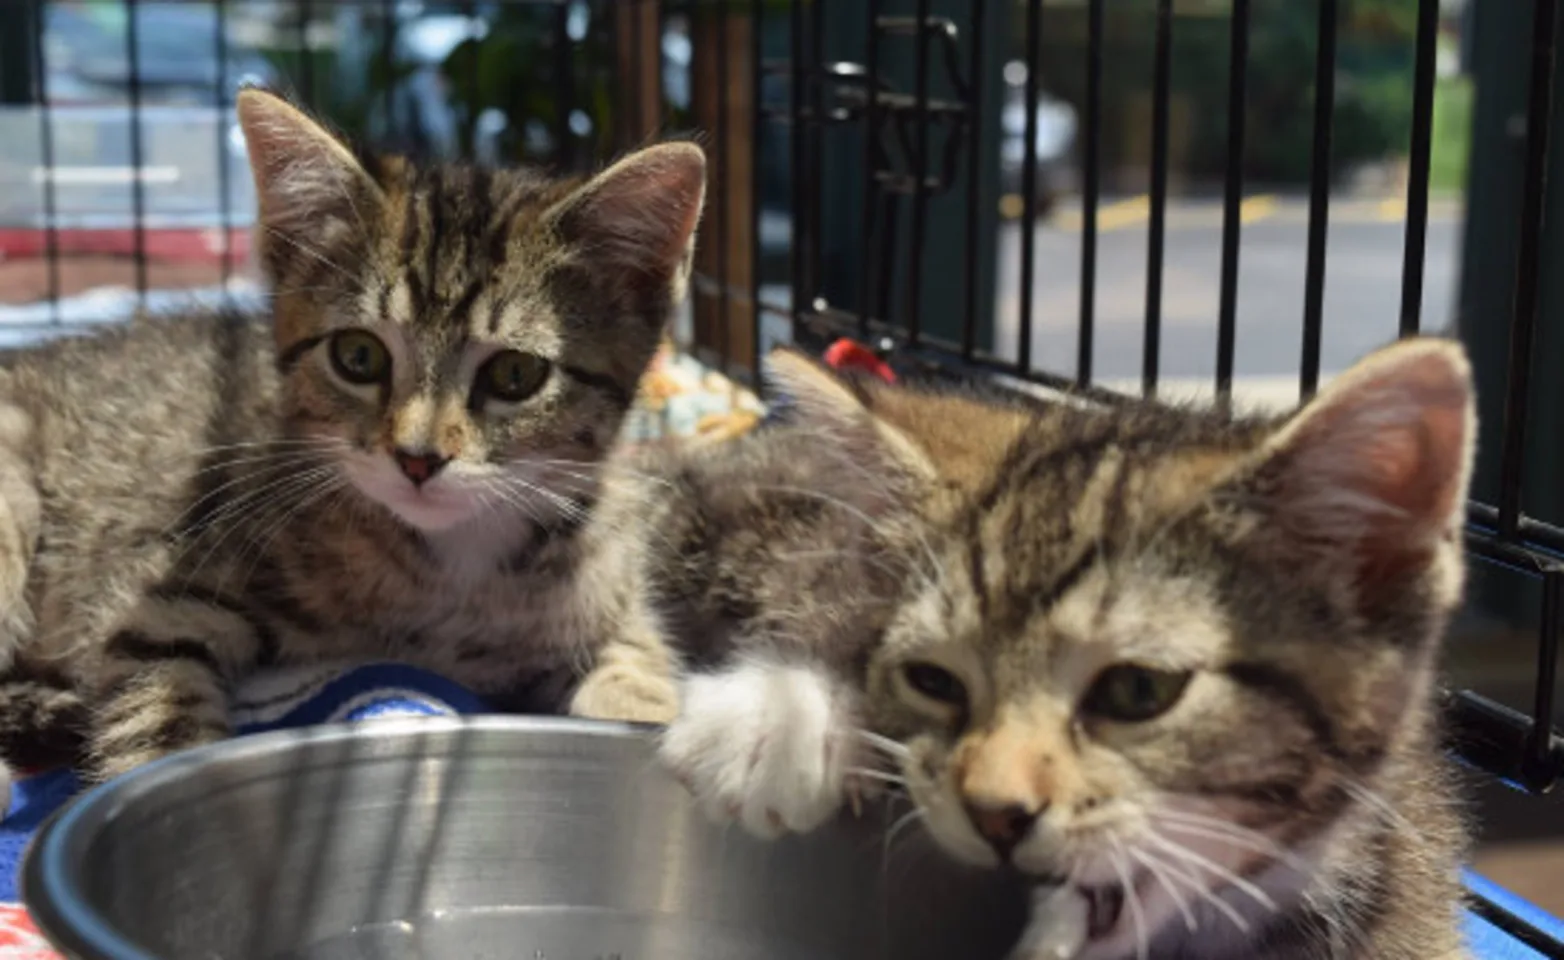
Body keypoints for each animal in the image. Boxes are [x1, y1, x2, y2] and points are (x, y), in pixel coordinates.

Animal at [0, 86, 703, 784]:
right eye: (358, 356)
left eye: (515, 374)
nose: (418, 458)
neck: (457, 571)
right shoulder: (170, 593)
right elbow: (159, 716)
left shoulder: (616, 613)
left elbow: (641, 687)